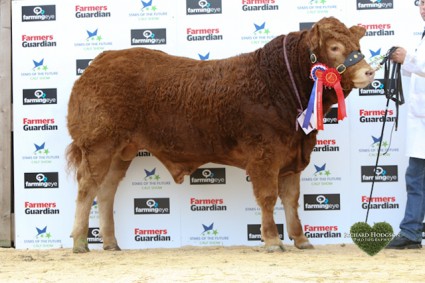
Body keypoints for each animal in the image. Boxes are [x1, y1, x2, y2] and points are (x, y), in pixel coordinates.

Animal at [65, 16, 372, 254]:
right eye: (334, 47)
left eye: (357, 47)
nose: (369, 72)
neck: (279, 84)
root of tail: (99, 61)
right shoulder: (265, 155)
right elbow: (268, 197)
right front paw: (273, 240)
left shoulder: (292, 156)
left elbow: (291, 199)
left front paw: (301, 239)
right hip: (98, 143)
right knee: (87, 187)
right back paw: (80, 242)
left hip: (122, 150)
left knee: (106, 190)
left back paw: (110, 242)